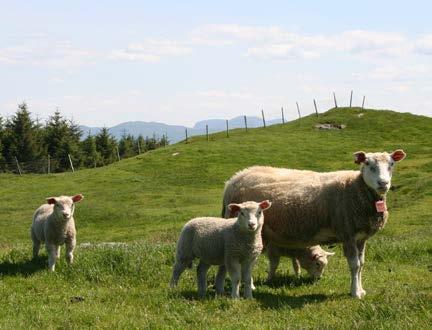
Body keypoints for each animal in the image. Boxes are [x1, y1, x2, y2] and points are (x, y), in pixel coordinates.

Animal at [221, 151, 406, 298]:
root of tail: (233, 179)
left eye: (391, 164)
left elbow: (361, 264)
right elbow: (354, 265)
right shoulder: (347, 233)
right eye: (367, 163)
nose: (383, 183)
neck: (355, 188)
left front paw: (361, 290)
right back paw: (248, 286)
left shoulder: (361, 237)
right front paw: (354, 293)